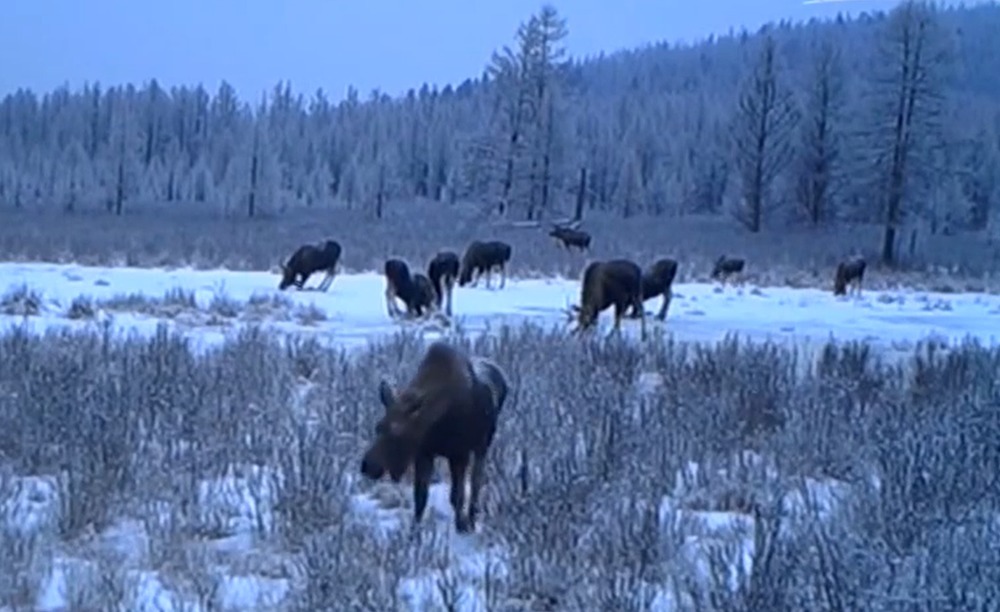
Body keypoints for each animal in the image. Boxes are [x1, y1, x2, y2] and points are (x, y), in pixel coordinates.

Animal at [362, 342, 512, 532]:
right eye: (378, 426)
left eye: (397, 432)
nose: (368, 465)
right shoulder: (424, 453)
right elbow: (420, 497)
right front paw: (414, 530)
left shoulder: (459, 454)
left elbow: (457, 495)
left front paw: (461, 525)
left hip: (482, 446)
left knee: (476, 483)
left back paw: (471, 519)